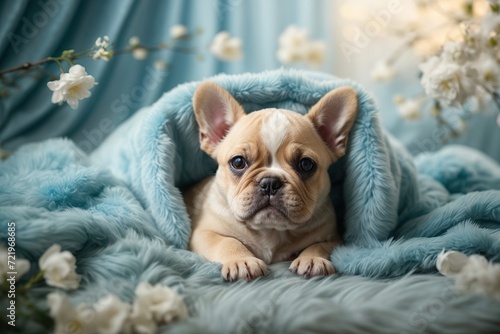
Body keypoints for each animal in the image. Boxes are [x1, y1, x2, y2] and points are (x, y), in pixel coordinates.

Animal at [182, 81, 358, 282]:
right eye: (238, 162)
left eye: (306, 165)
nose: (270, 182)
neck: (270, 230)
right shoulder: (203, 234)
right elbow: (227, 242)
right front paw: (242, 261)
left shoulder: (334, 238)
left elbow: (320, 245)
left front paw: (313, 259)